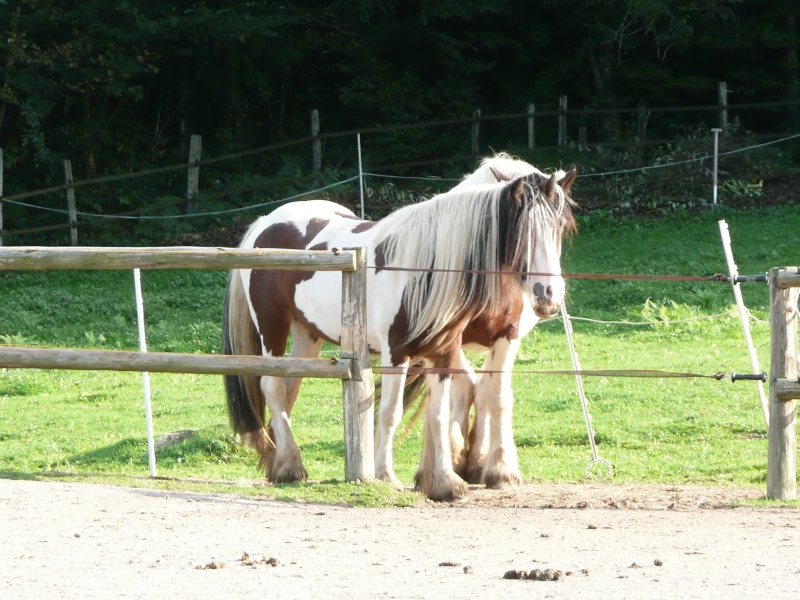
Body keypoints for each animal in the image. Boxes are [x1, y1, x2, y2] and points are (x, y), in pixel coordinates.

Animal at [222, 165, 580, 502]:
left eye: (562, 228)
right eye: (521, 232)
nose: (548, 293)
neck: (425, 270)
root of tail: (264, 224)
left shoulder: (445, 352)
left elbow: (439, 413)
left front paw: (445, 482)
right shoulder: (397, 352)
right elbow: (390, 413)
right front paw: (385, 476)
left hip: (307, 335)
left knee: (288, 390)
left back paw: (282, 463)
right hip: (272, 328)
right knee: (272, 387)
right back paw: (291, 467)